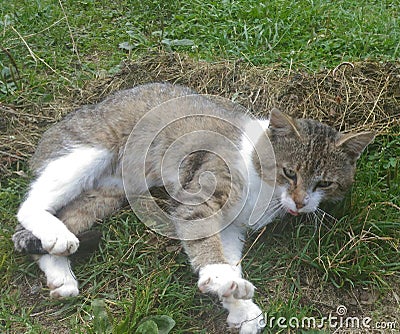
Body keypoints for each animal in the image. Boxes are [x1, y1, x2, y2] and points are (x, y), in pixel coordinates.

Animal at [13, 83, 376, 334]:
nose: (301, 203)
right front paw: (222, 279)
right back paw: (56, 236)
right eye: (290, 172)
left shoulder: (232, 226)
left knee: (53, 222)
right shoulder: (202, 199)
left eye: (325, 183)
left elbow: (229, 257)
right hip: (90, 150)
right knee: (28, 206)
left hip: (107, 193)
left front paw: (237, 301)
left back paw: (59, 272)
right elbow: (207, 244)